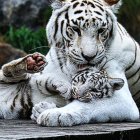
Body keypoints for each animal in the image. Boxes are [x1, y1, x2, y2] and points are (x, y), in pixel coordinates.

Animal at [0, 0, 139, 127]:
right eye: (76, 29)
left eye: (101, 30)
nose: (89, 57)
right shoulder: (40, 78)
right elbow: (44, 81)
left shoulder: (123, 100)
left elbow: (86, 104)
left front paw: (53, 114)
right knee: (8, 70)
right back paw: (32, 62)